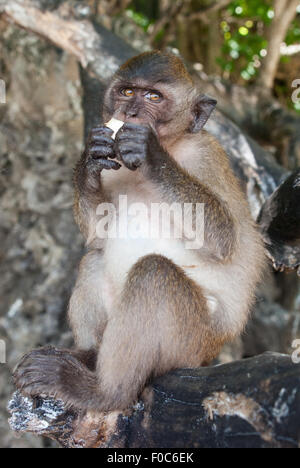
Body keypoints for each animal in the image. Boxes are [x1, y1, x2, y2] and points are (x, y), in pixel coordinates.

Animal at [13, 49, 264, 412]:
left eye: (153, 97)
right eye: (128, 92)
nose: (130, 113)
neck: (173, 145)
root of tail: (211, 351)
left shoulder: (206, 155)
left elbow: (224, 238)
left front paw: (150, 154)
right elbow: (97, 234)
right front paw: (90, 159)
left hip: (189, 342)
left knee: (154, 272)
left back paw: (101, 391)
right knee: (94, 259)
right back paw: (89, 355)